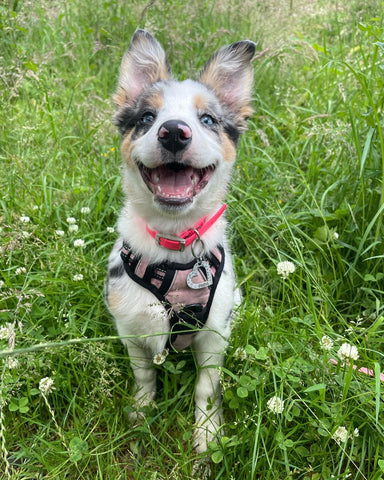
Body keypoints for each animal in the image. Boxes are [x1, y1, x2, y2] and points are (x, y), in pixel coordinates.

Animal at [105, 28, 255, 452]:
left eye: (208, 119)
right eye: (146, 117)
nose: (173, 131)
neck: (172, 247)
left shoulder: (213, 335)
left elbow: (207, 387)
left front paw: (207, 432)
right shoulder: (131, 329)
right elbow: (143, 376)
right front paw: (141, 410)